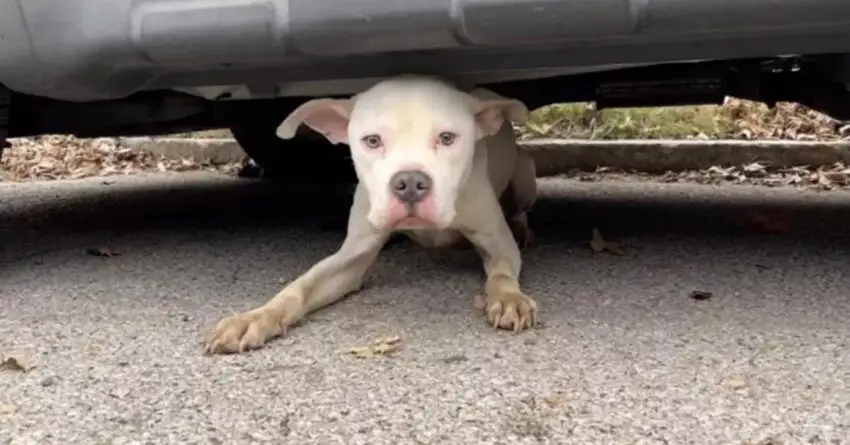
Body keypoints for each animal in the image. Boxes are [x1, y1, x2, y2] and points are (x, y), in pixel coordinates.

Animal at [204, 75, 536, 354]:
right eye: (372, 141)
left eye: (447, 137)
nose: (411, 183)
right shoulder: (352, 257)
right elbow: (302, 285)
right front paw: (256, 316)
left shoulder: (498, 244)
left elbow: (502, 273)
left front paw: (509, 299)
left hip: (525, 176)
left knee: (520, 206)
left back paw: (521, 227)